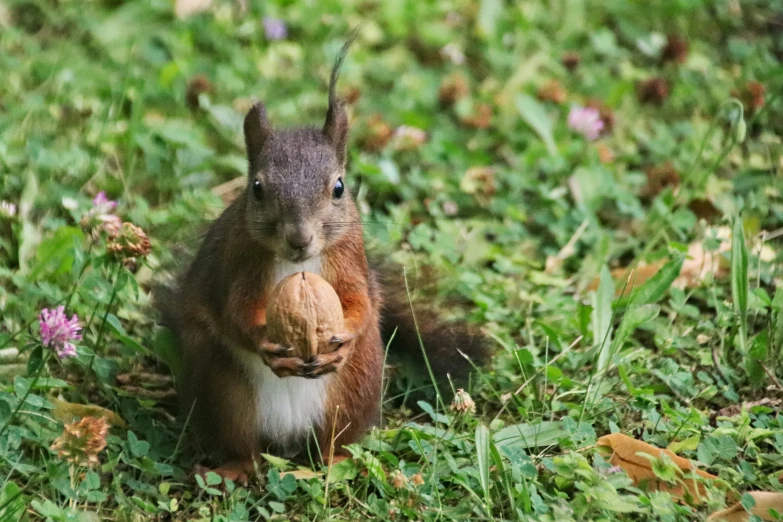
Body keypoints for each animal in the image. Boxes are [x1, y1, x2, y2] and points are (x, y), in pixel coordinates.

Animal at [155, 31, 490, 480]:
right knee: (243, 444)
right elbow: (236, 311)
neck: (298, 268)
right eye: (257, 188)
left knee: (333, 441)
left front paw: (344, 334)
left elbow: (360, 301)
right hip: (224, 390)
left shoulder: (349, 259)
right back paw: (234, 469)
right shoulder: (238, 262)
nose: (300, 239)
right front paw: (264, 341)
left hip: (354, 390)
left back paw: (335, 462)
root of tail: (288, 438)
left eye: (339, 187)